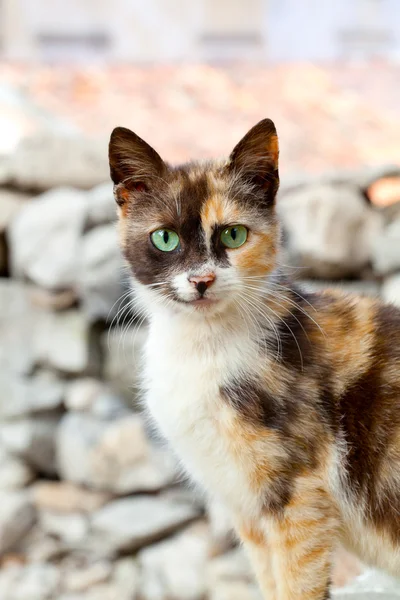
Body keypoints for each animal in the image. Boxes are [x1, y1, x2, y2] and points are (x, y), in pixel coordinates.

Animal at [108, 119, 400, 596]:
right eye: (165, 238)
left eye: (233, 234)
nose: (202, 279)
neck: (202, 350)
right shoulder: (244, 503)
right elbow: (269, 582)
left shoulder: (298, 495)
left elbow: (298, 584)